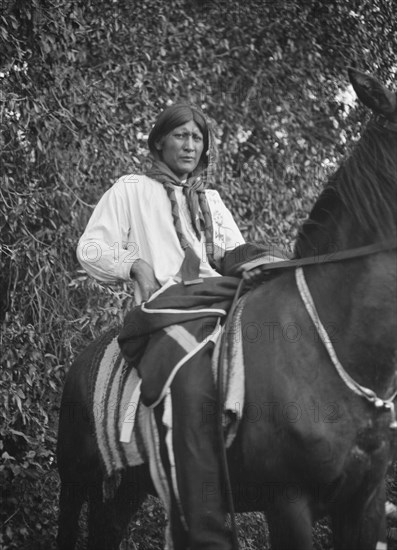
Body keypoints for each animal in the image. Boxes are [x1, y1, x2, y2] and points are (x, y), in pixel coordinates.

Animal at [57, 70, 394, 550]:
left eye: (195, 136)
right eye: (183, 134)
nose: (191, 149)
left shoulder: (364, 503)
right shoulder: (288, 501)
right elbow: (93, 244)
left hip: (129, 485)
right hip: (75, 478)